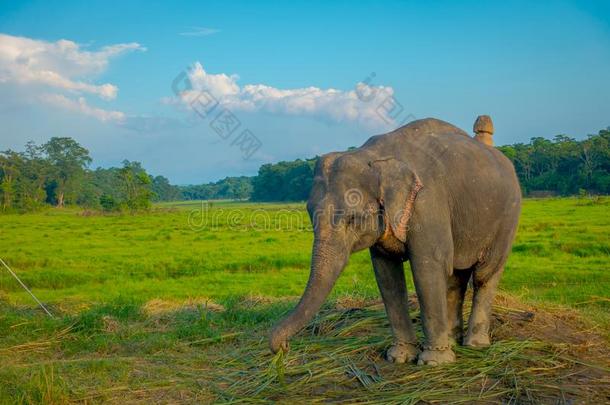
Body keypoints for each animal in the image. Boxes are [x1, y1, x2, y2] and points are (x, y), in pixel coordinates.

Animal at [268, 117, 520, 366]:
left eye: (353, 218)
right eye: (310, 213)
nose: (283, 347)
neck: (375, 156)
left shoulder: (427, 203)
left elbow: (428, 267)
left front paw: (433, 362)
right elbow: (387, 274)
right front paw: (400, 357)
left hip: (507, 219)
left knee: (484, 274)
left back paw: (475, 345)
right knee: (456, 276)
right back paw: (452, 341)